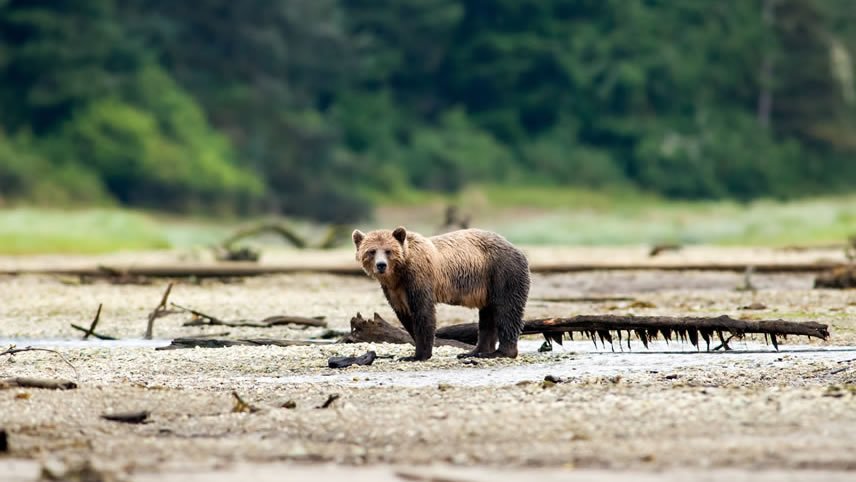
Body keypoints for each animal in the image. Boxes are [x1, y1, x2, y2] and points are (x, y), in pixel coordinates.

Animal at [350, 228, 528, 360]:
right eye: (372, 251)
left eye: (388, 251)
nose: (381, 265)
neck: (398, 274)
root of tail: (517, 249)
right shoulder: (394, 290)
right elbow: (406, 315)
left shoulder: (418, 277)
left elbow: (423, 313)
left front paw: (418, 355)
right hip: (487, 286)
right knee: (487, 315)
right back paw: (476, 352)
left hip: (502, 272)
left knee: (507, 310)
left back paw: (501, 352)